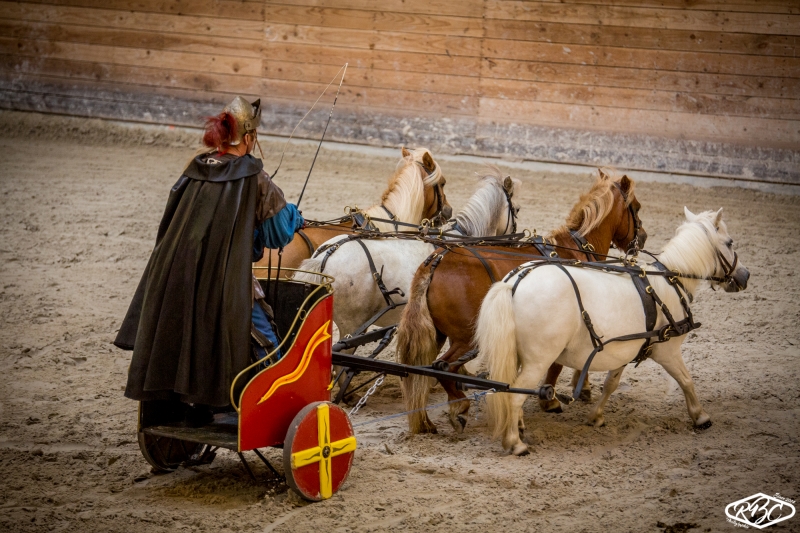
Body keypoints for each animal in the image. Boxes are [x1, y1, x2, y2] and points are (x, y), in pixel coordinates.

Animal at [396, 170, 648, 432]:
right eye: (637, 207)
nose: (643, 237)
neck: (575, 248)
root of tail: (436, 260)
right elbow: (559, 364)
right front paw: (553, 399)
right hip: (467, 338)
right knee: (443, 368)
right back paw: (459, 406)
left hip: (436, 335)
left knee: (420, 372)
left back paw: (426, 420)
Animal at [472, 206, 748, 456]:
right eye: (730, 242)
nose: (744, 275)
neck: (670, 279)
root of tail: (515, 282)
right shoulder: (667, 351)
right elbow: (686, 380)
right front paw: (700, 416)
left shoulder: (626, 349)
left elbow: (611, 384)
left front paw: (596, 416)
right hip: (538, 361)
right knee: (513, 397)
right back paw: (515, 443)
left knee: (510, 390)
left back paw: (518, 427)